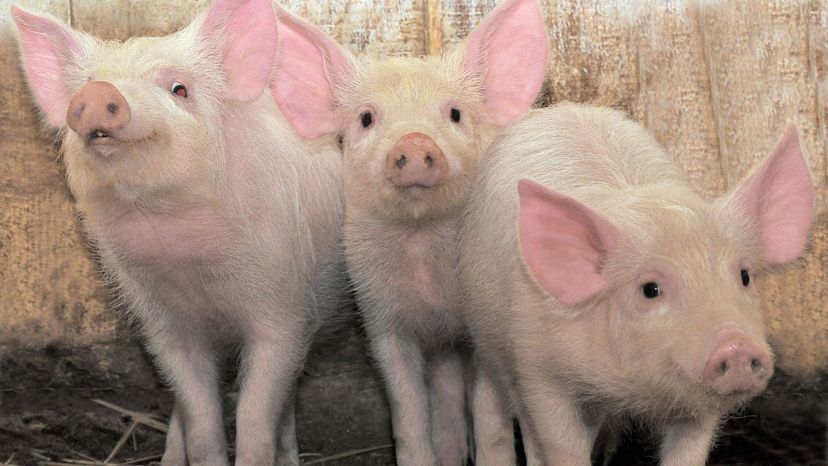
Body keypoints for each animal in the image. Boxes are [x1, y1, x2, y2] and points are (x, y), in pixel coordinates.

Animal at [12, 0, 344, 465]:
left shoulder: (285, 310)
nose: (97, 95)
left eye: (179, 89)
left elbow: (255, 413)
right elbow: (199, 416)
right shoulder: (163, 324)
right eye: (90, 83)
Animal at [269, 0, 548, 464]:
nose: (415, 142)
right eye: (367, 118)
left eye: (454, 113)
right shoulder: (381, 318)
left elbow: (488, 412)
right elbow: (409, 409)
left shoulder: (483, 323)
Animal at [458, 102, 815, 465]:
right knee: (490, 404)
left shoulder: (697, 404)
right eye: (650, 289)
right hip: (485, 333)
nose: (737, 346)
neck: (629, 392)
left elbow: (689, 451)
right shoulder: (537, 368)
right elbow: (560, 444)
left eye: (743, 276)